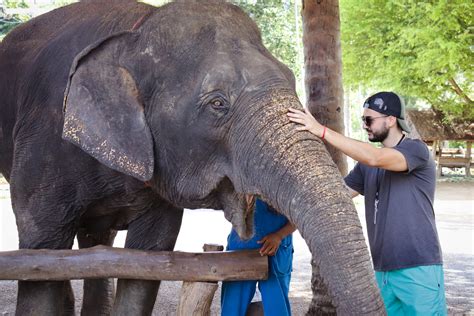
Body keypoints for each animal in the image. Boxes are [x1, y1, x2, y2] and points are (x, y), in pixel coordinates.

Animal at [0, 1, 386, 314]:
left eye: (293, 80)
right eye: (217, 103)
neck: (137, 29)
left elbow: (146, 261)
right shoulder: (44, 139)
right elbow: (41, 256)